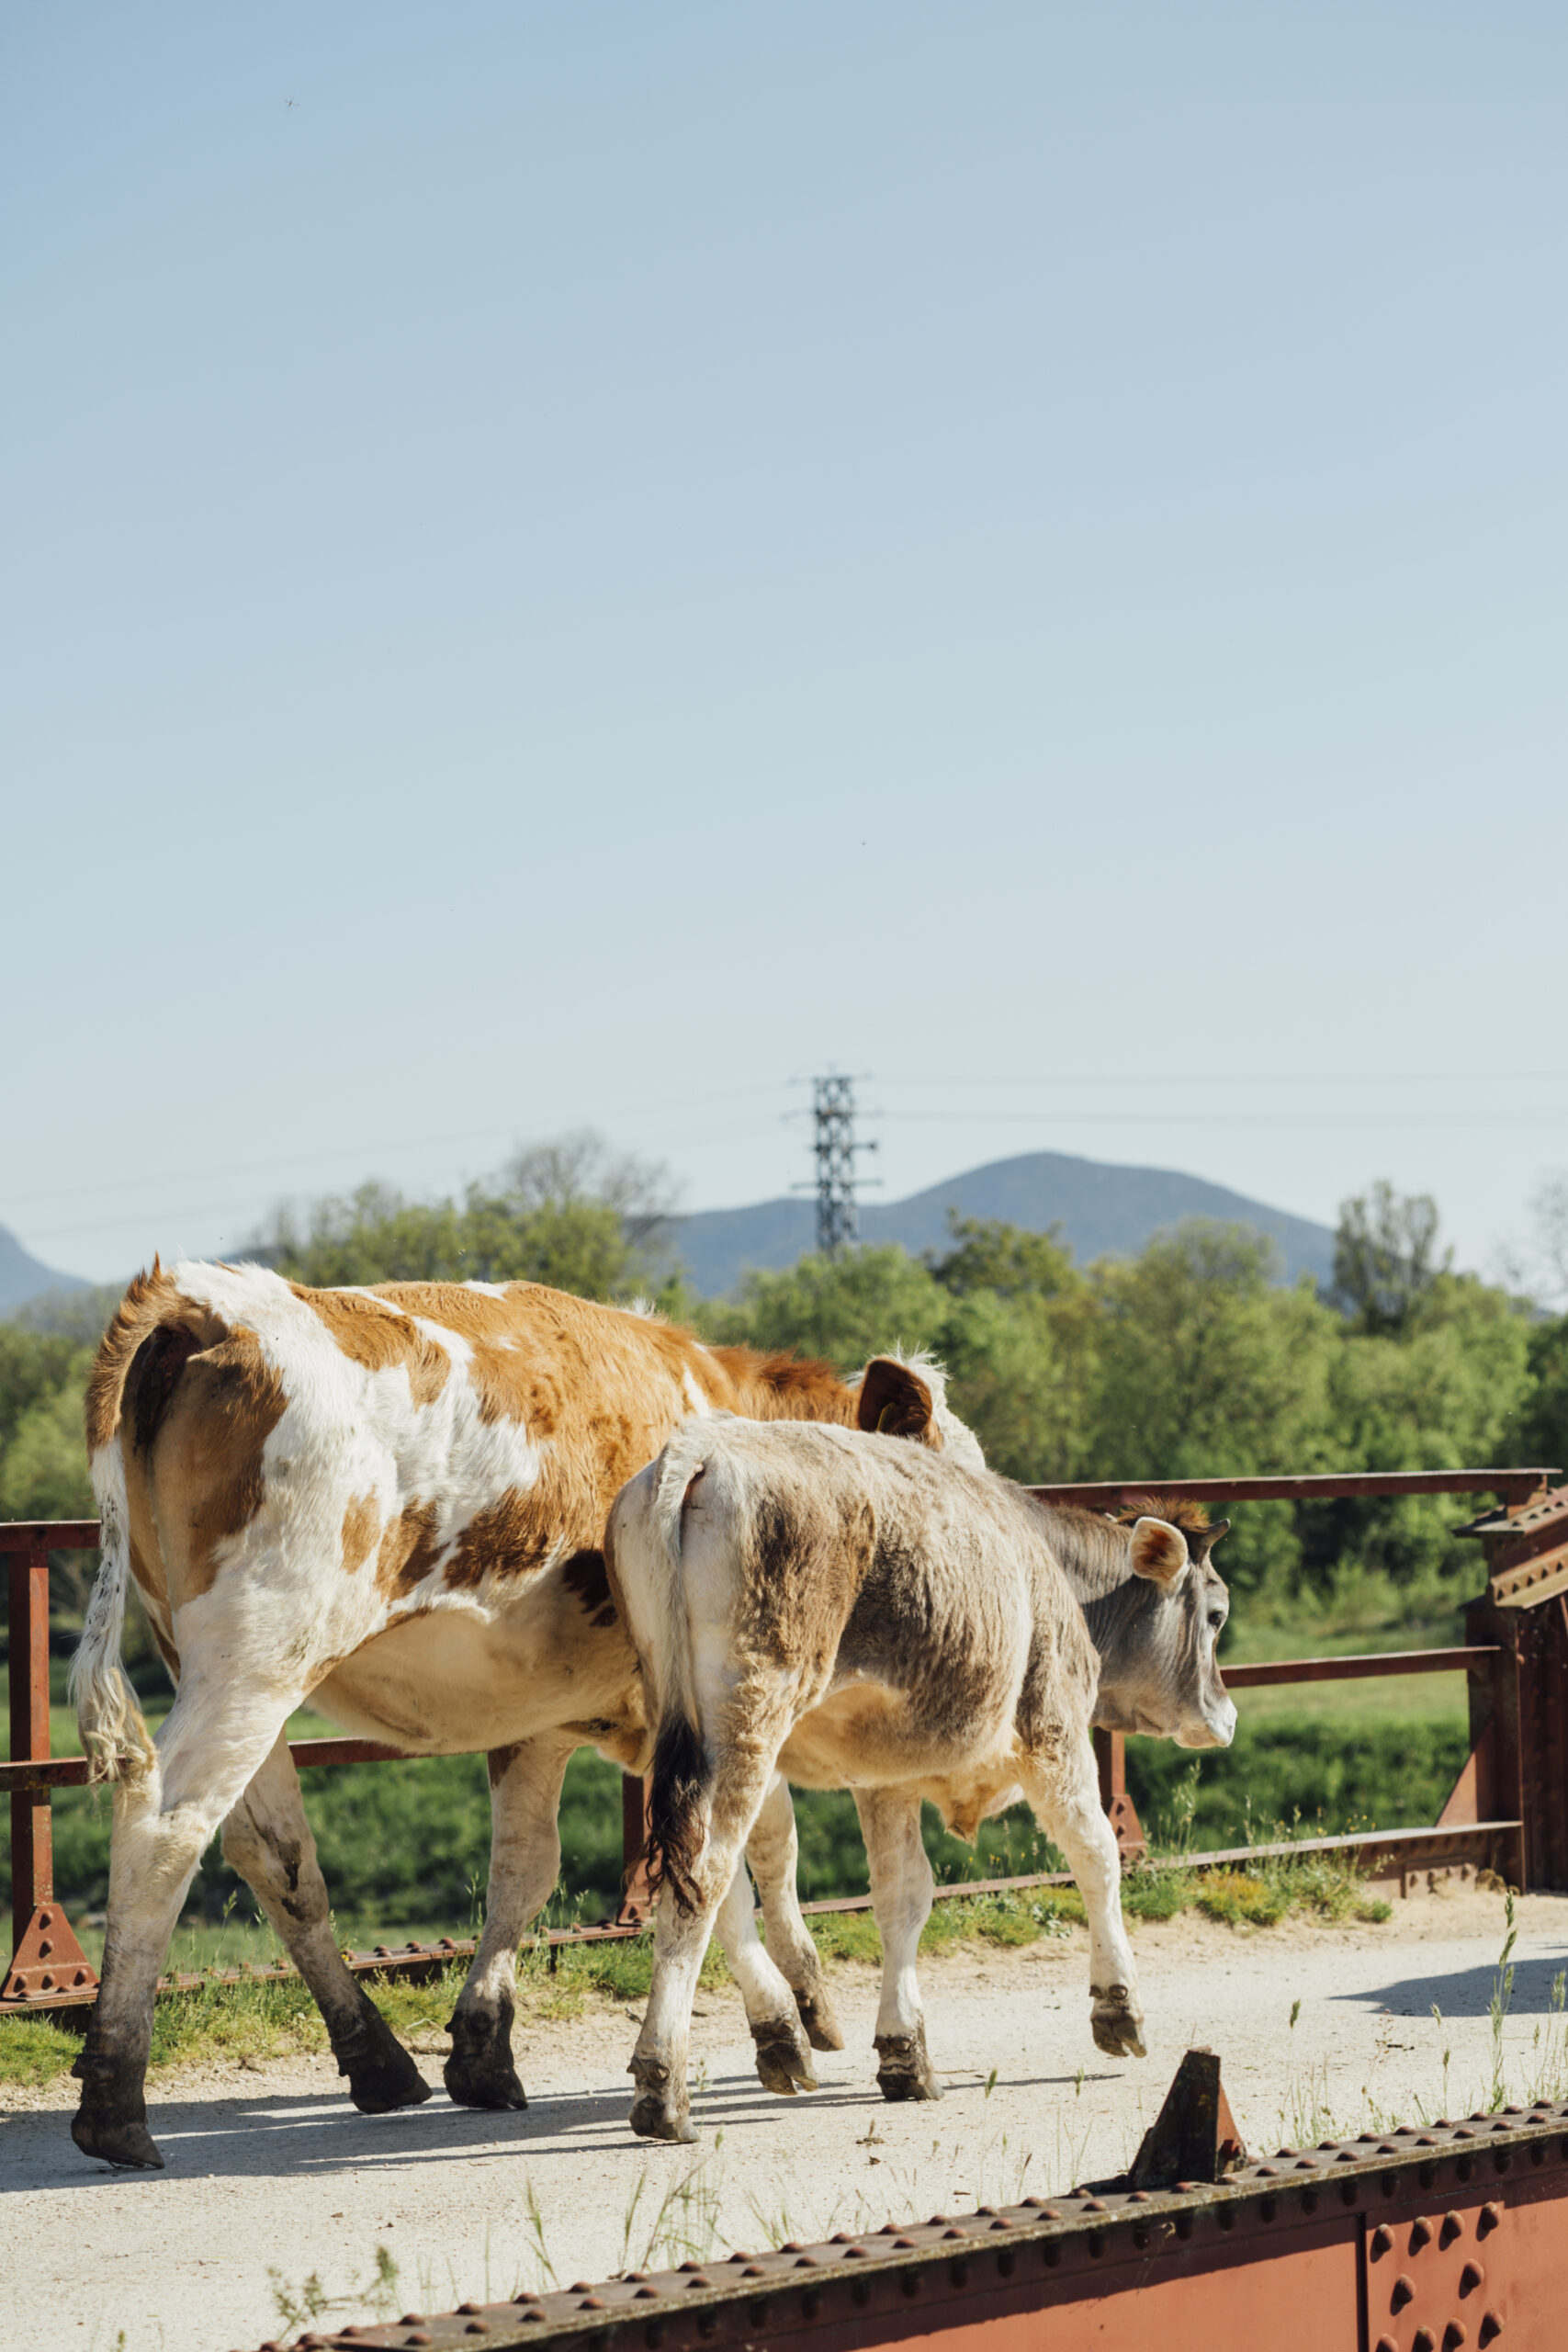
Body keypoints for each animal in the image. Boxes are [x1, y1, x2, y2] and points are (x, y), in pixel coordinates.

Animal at [69, 1258, 982, 2169]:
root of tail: (205, 1295)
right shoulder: (703, 1702)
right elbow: (751, 1858)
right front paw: (790, 2020)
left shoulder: (548, 1719)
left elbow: (526, 1869)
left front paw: (483, 2047)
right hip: (257, 1657)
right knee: (165, 1829)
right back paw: (115, 2099)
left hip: (214, 1664)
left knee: (276, 1855)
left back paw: (377, 2060)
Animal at [605, 1407, 1236, 2142]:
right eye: (1216, 1615)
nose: (1225, 1715)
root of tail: (702, 1446)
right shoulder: (1052, 1728)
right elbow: (1097, 1857)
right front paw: (1119, 2008)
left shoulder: (885, 1775)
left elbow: (902, 1896)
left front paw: (904, 2053)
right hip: (749, 1713)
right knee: (703, 1879)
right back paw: (664, 2086)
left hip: (680, 1719)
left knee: (717, 1881)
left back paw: (777, 2043)